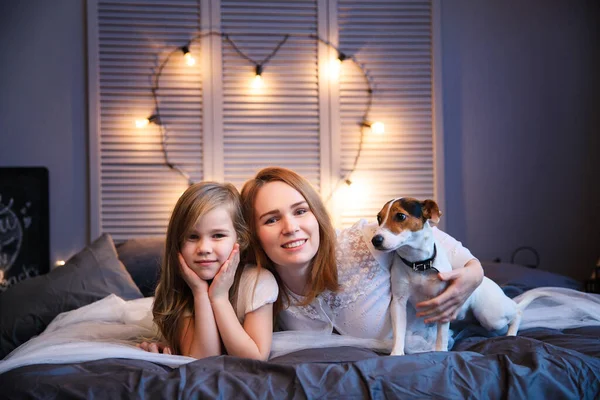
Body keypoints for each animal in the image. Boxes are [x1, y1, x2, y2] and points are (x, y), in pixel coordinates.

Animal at [372, 198, 536, 354]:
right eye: (379, 218)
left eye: (400, 216)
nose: (375, 240)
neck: (419, 265)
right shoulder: (398, 302)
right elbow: (399, 332)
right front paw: (396, 353)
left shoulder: (444, 303)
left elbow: (442, 336)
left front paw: (440, 352)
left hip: (490, 316)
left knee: (517, 311)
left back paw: (511, 333)